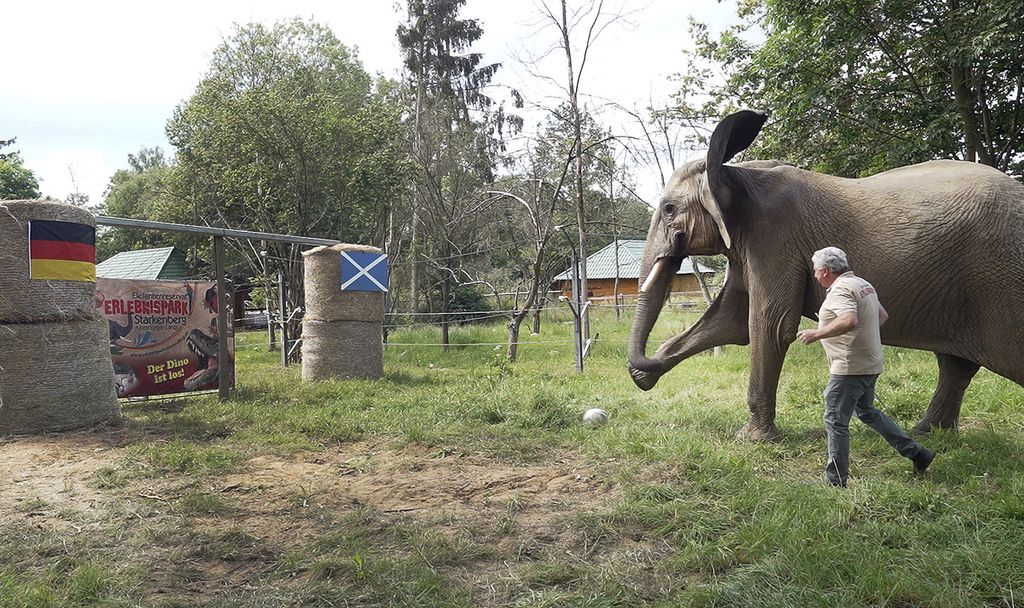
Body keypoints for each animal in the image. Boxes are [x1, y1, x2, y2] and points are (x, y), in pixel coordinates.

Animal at [626, 109, 1024, 438]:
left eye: (668, 209)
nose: (643, 364)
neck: (737, 171)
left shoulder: (775, 240)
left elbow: (769, 325)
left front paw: (752, 440)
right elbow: (732, 321)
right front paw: (647, 372)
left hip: (1001, 278)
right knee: (955, 365)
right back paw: (928, 433)